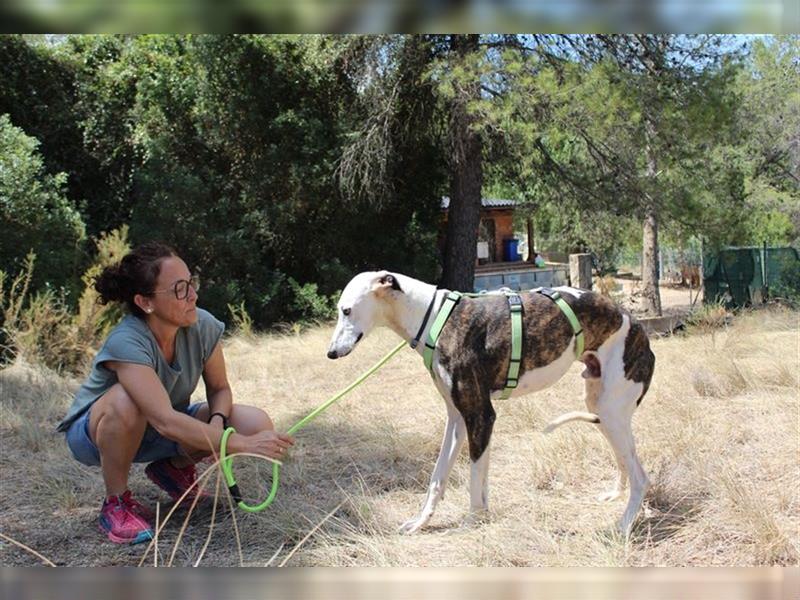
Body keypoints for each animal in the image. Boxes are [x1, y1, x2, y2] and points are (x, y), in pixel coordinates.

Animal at [326, 270, 656, 536]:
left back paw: (623, 525)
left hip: (611, 412)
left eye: (347, 310)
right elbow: (440, 476)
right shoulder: (457, 419)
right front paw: (421, 522)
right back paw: (616, 494)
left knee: (641, 477)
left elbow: (474, 479)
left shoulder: (481, 415)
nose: (330, 353)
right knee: (626, 460)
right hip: (598, 406)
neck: (432, 318)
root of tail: (638, 326)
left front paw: (472, 522)